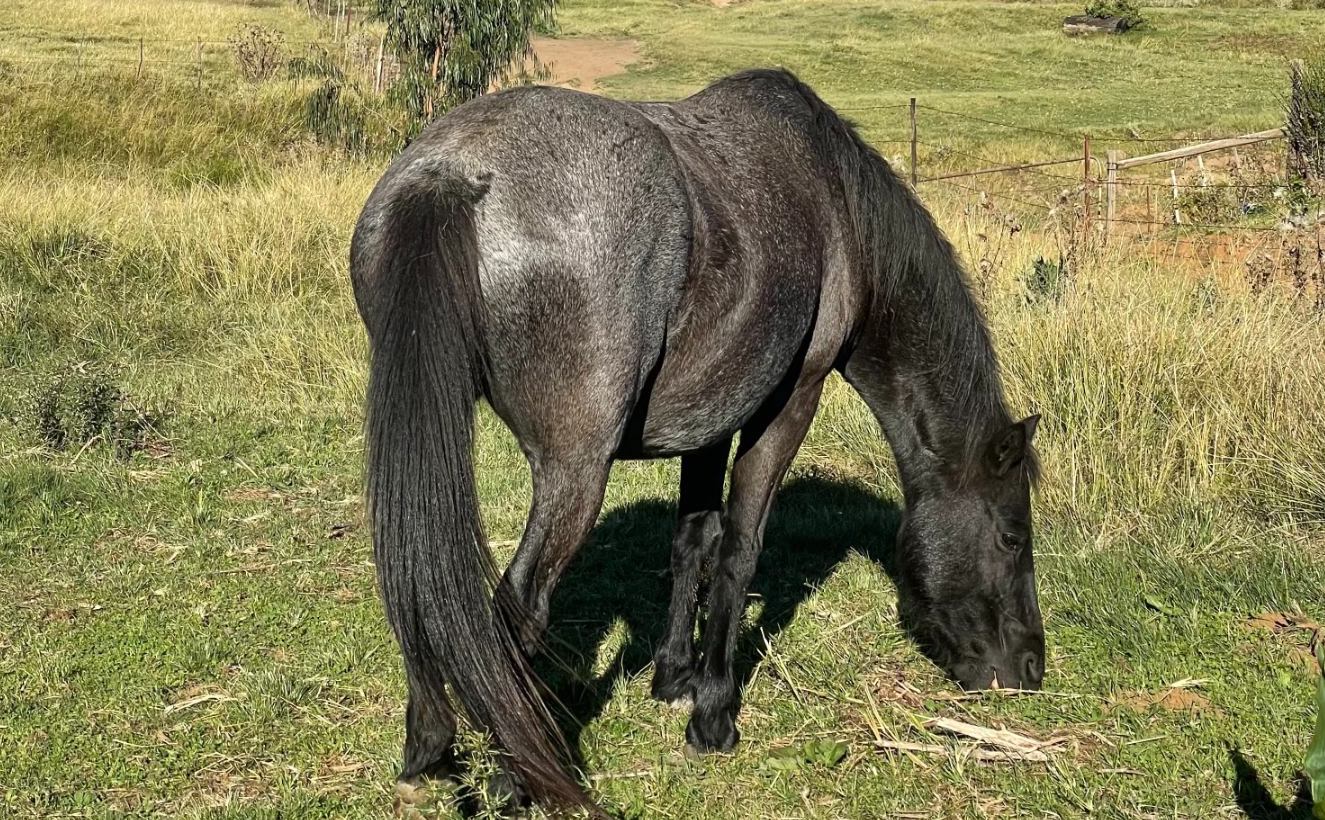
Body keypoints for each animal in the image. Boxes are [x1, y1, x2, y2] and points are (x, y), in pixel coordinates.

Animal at [350, 68, 1043, 814]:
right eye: (1012, 535)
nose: (1031, 665)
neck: (834, 202)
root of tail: (453, 174)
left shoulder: (712, 415)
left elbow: (694, 539)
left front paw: (673, 674)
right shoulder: (788, 403)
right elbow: (740, 550)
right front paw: (712, 713)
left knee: (419, 583)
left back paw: (428, 750)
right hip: (573, 473)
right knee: (515, 609)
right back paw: (517, 774)